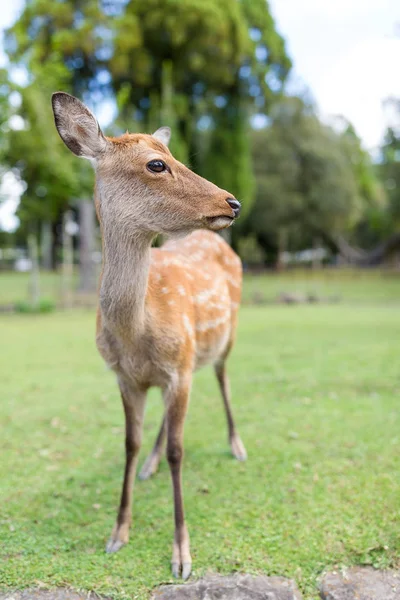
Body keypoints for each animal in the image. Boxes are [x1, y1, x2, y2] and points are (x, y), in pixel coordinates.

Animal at [50, 92, 247, 580]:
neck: (136, 334)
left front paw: (182, 554)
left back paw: (236, 445)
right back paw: (151, 466)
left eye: (177, 157)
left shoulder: (180, 368)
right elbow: (129, 444)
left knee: (223, 376)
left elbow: (180, 450)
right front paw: (118, 533)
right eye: (157, 164)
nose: (233, 202)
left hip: (225, 337)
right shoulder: (126, 376)